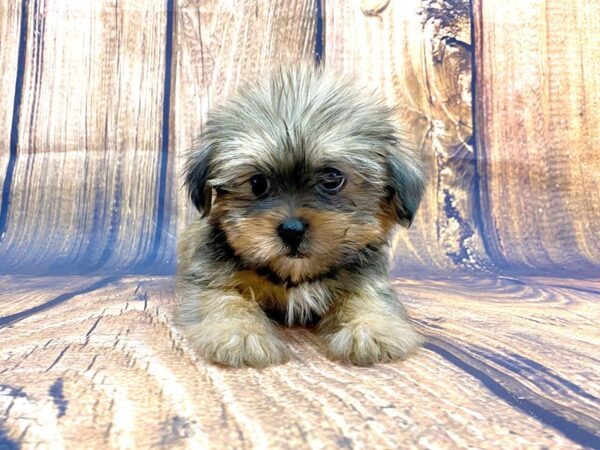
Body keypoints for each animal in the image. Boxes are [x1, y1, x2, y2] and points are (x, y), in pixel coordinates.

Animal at [175, 63, 426, 368]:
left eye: (332, 178)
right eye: (257, 183)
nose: (291, 230)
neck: (295, 277)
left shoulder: (364, 277)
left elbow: (370, 298)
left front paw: (371, 329)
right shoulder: (213, 277)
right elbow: (225, 299)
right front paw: (241, 334)